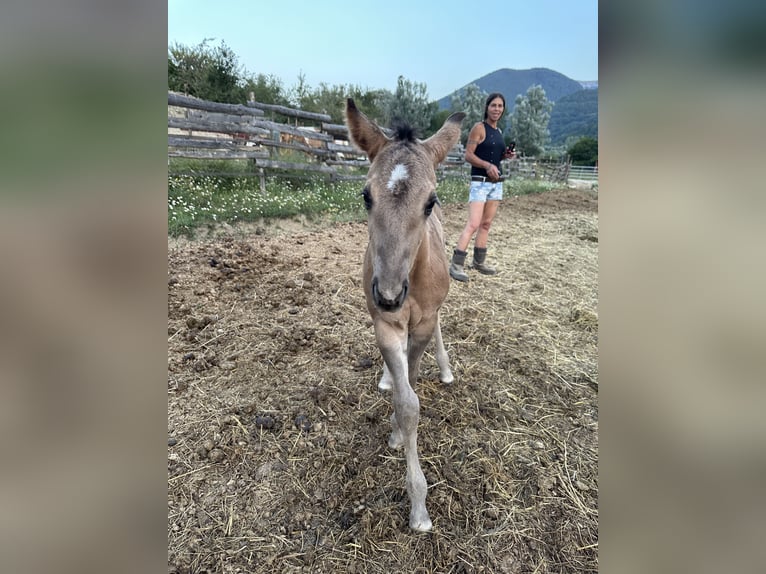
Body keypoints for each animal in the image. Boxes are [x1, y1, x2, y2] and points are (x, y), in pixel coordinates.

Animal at [344, 99, 465, 531]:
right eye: (366, 196)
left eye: (430, 201)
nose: (390, 295)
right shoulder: (386, 324)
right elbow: (405, 400)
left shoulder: (424, 323)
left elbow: (411, 389)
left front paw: (419, 509)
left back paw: (445, 369)